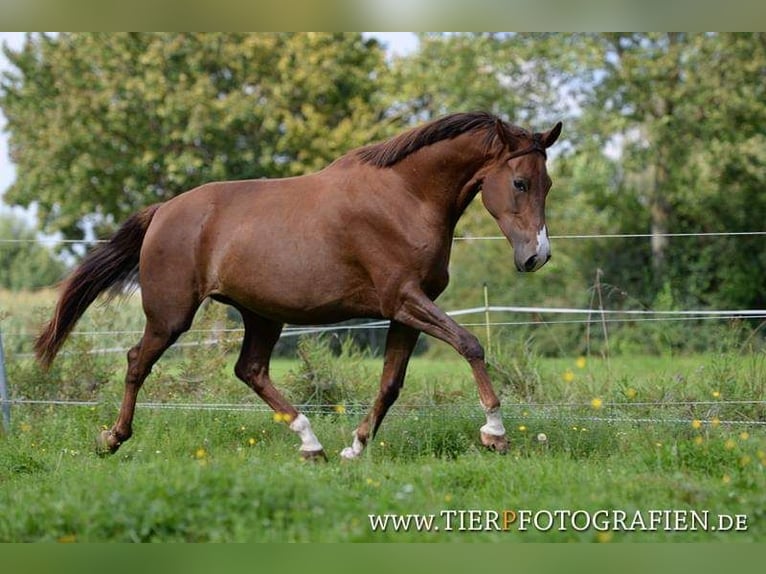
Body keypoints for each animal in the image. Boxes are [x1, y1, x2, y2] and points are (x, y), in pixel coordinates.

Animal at [35, 111, 562, 460]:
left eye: (548, 183)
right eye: (520, 182)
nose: (536, 256)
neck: (404, 198)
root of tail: (163, 210)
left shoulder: (406, 311)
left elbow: (391, 384)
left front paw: (355, 448)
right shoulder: (405, 299)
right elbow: (470, 344)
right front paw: (495, 433)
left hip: (262, 314)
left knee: (250, 371)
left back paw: (312, 444)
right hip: (171, 316)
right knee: (135, 362)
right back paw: (112, 439)